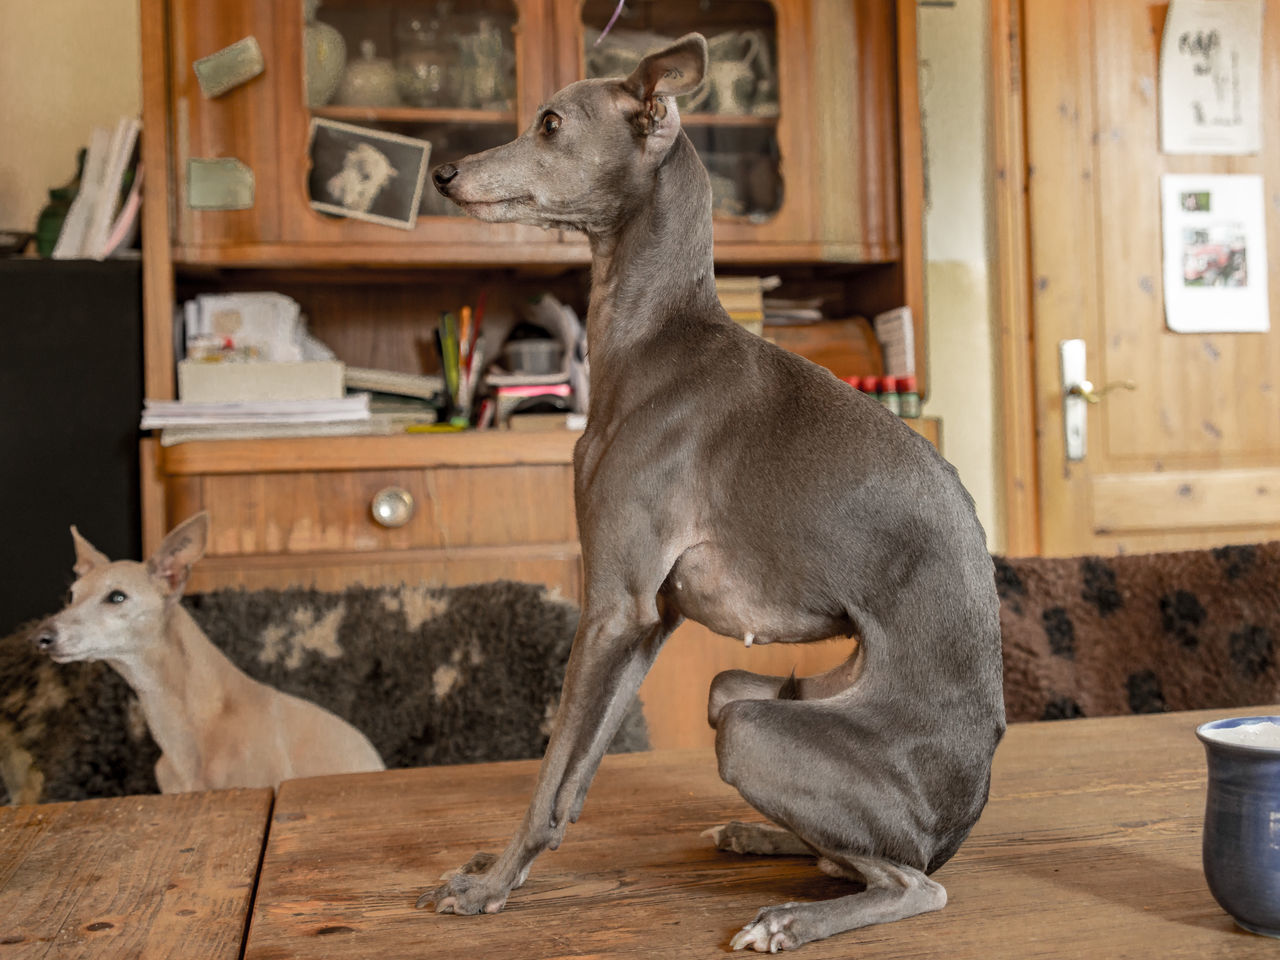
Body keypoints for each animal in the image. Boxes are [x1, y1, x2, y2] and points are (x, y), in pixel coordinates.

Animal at [424, 32, 1003, 957]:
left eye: (549, 122)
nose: (444, 173)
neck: (654, 340)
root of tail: (958, 820)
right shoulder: (650, 618)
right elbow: (572, 779)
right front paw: (504, 868)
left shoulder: (612, 604)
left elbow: (549, 770)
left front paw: (491, 888)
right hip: (738, 692)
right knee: (846, 849)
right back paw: (761, 838)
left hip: (756, 733)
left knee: (910, 882)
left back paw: (790, 917)